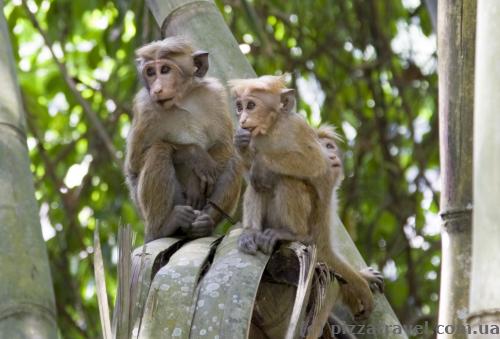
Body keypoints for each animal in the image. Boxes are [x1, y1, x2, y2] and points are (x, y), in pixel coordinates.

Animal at [124, 36, 242, 244]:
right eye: (150, 72)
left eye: (165, 70)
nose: (157, 89)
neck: (182, 100)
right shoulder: (145, 108)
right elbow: (134, 165)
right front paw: (195, 155)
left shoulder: (215, 95)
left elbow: (225, 146)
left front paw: (196, 181)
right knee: (159, 151)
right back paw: (163, 228)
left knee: (235, 160)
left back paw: (204, 224)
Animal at [230, 75, 378, 338]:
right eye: (240, 107)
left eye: (251, 105)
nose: (243, 119)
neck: (271, 131)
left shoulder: (297, 129)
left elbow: (312, 162)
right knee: (260, 186)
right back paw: (251, 233)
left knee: (286, 180)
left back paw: (291, 232)